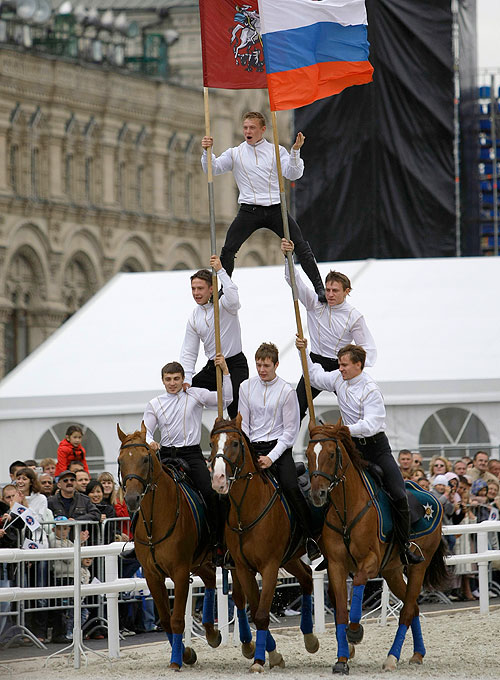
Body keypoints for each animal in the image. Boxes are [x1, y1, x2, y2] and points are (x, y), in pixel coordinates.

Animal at [117, 424, 250, 668]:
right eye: (121, 460)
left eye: (145, 459)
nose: (131, 499)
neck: (155, 520)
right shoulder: (152, 575)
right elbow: (166, 620)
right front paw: (185, 653)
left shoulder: (179, 572)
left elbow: (178, 619)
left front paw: (177, 660)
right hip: (200, 561)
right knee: (210, 581)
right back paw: (211, 633)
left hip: (232, 561)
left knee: (238, 598)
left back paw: (247, 644)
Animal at [210, 418, 320, 672]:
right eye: (211, 443)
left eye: (235, 443)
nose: (218, 479)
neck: (247, 510)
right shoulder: (243, 568)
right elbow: (254, 607)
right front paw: (268, 655)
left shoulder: (269, 566)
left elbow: (261, 614)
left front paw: (261, 659)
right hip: (289, 559)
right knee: (307, 577)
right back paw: (310, 639)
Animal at [306, 422, 448, 672]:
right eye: (307, 455)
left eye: (331, 454)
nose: (317, 494)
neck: (348, 509)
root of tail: (431, 496)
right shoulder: (336, 565)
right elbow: (340, 611)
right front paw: (342, 660)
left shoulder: (370, 562)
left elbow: (359, 583)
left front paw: (355, 632)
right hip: (392, 571)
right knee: (413, 607)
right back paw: (417, 654)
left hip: (417, 567)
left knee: (407, 610)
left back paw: (392, 657)